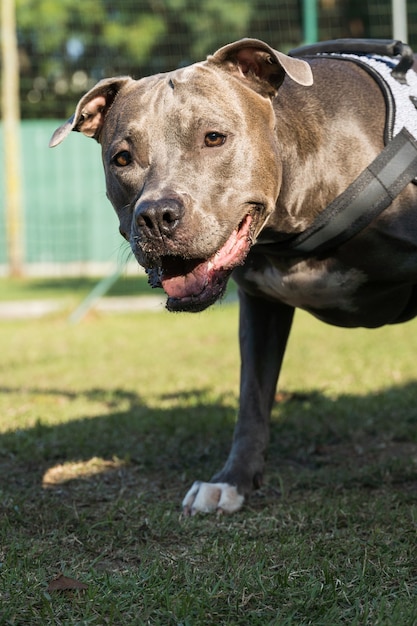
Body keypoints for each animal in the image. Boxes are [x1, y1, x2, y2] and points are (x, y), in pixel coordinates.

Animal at [50, 39, 416, 516]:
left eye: (214, 137)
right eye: (122, 158)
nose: (157, 216)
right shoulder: (261, 309)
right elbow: (253, 399)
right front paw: (233, 481)